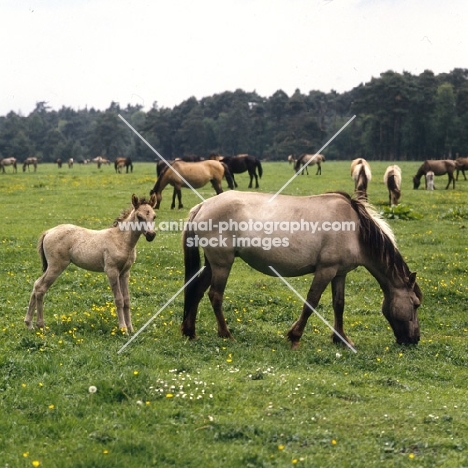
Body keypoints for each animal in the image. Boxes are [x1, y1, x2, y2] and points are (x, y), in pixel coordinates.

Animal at [24, 194, 157, 332]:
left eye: (154, 216)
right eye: (139, 216)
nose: (151, 235)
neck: (121, 240)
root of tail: (48, 232)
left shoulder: (125, 272)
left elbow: (127, 300)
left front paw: (131, 329)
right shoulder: (111, 271)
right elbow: (119, 300)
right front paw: (123, 329)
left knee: (36, 284)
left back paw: (29, 324)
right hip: (56, 266)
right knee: (41, 288)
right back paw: (41, 325)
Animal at [181, 190, 422, 348]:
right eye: (416, 304)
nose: (414, 339)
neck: (355, 229)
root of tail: (202, 206)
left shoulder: (339, 273)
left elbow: (339, 305)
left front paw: (341, 339)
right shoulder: (325, 270)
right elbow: (311, 302)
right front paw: (295, 336)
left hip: (212, 264)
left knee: (197, 291)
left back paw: (190, 332)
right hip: (223, 263)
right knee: (215, 295)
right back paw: (226, 334)